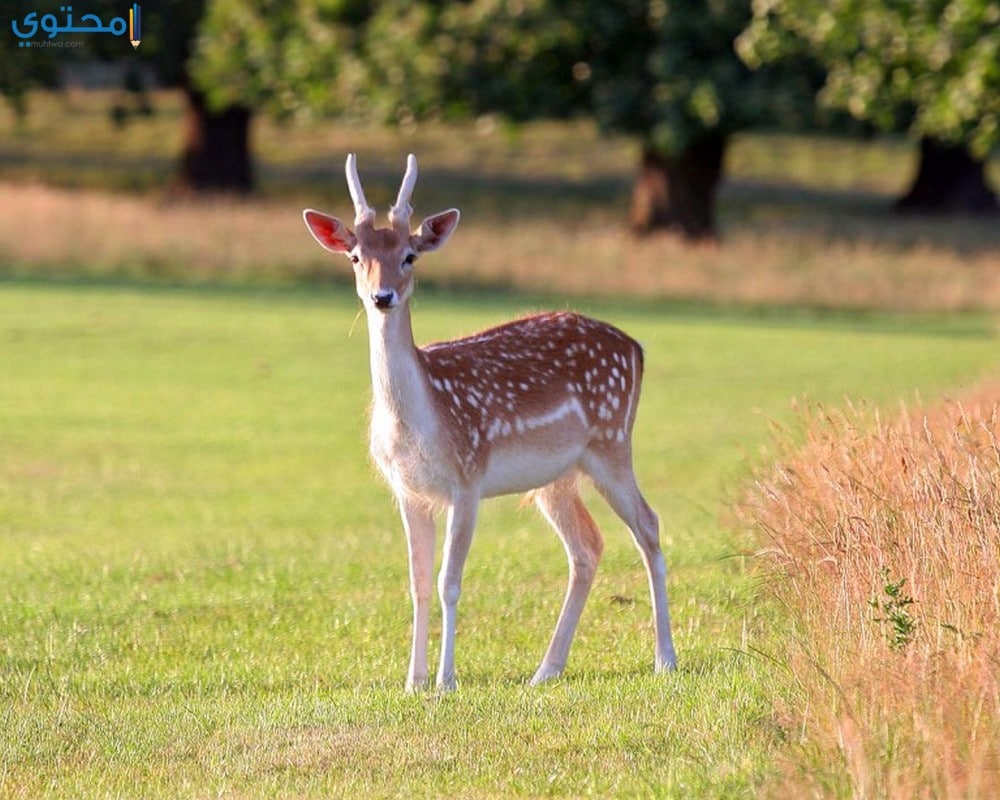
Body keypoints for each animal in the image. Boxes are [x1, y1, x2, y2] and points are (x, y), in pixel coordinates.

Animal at [302, 153, 680, 692]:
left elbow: (449, 582)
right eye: (356, 256)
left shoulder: (468, 477)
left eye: (410, 255)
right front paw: (413, 681)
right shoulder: (407, 490)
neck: (420, 425)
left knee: (647, 526)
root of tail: (636, 347)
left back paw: (665, 658)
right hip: (557, 477)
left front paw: (445, 681)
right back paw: (547, 669)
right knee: (587, 545)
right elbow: (417, 582)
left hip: (612, 441)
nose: (382, 296)